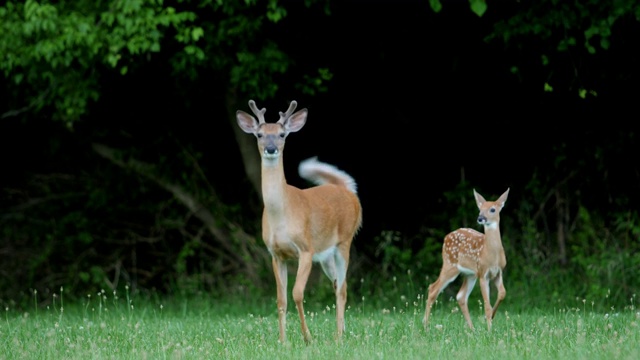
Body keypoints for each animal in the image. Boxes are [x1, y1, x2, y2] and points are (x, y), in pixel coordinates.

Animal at [238, 98, 362, 344]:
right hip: (326, 254)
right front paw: (283, 341)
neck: (281, 215)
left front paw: (308, 338)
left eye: (282, 134)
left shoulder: (306, 249)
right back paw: (341, 331)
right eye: (259, 134)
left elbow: (297, 293)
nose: (271, 149)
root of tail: (346, 189)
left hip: (344, 241)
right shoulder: (276, 254)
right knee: (336, 283)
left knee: (343, 288)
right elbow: (281, 299)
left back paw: (338, 336)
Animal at [424, 188, 510, 332]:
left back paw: (472, 329)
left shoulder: (498, 272)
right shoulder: (483, 273)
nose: (480, 218)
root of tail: (445, 238)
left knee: (461, 296)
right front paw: (489, 329)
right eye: (480, 209)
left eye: (492, 209)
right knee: (433, 289)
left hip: (470, 274)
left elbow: (503, 293)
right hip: (450, 265)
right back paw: (425, 326)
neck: (492, 255)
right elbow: (487, 305)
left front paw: (491, 317)